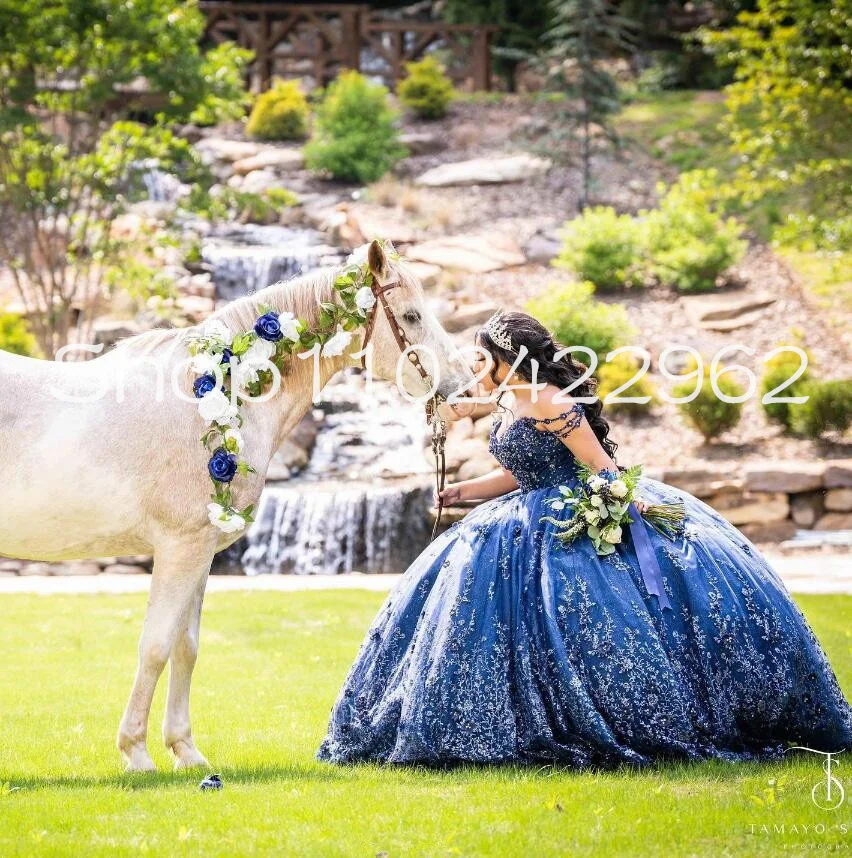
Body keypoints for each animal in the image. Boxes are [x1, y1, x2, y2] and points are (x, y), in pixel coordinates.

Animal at [0, 241, 472, 768]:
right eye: (411, 316)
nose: (462, 385)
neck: (213, 392)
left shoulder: (201, 550)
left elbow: (185, 647)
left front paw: (185, 751)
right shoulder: (180, 548)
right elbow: (155, 646)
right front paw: (136, 752)